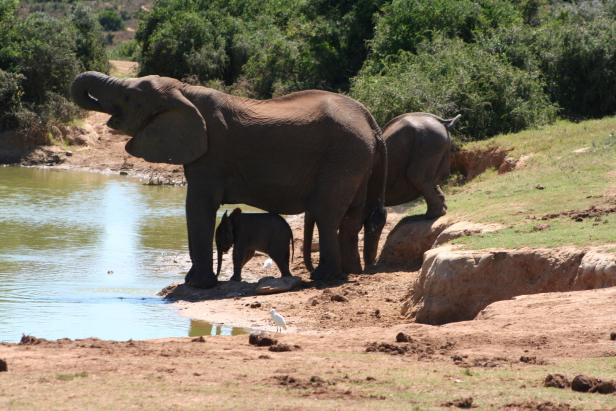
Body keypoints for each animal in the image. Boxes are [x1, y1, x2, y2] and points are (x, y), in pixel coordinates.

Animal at [71, 71, 384, 290]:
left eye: (129, 99)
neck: (184, 91)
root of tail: (369, 120)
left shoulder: (211, 155)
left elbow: (198, 207)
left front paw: (196, 285)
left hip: (344, 155)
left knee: (327, 214)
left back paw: (324, 277)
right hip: (357, 159)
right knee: (352, 217)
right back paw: (350, 273)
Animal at [304, 112, 458, 274]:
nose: (311, 270)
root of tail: (443, 122)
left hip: (428, 145)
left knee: (418, 177)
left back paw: (426, 216)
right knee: (429, 181)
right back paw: (430, 214)